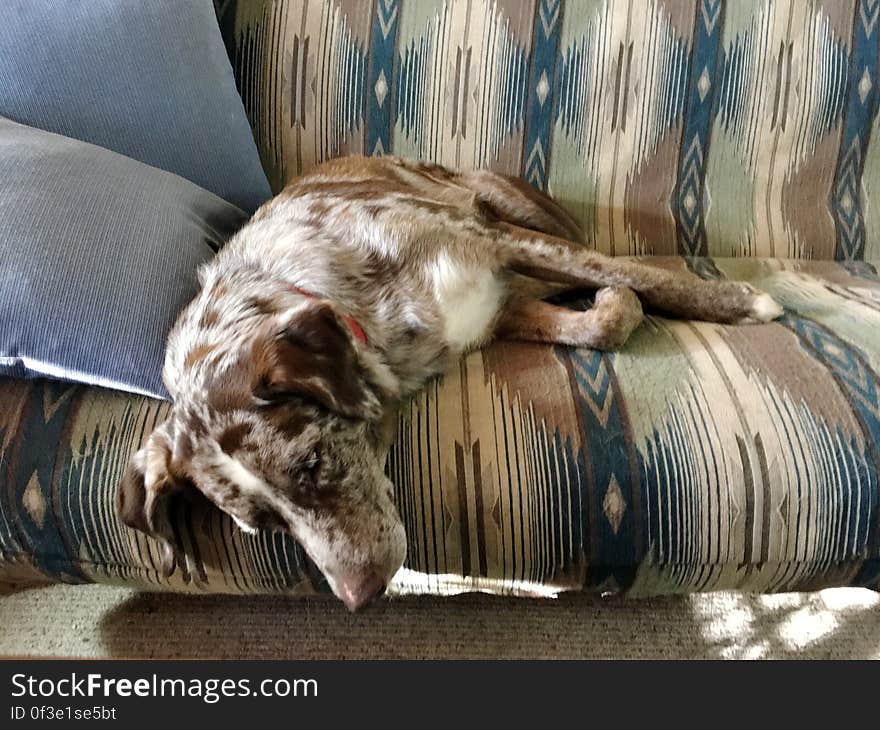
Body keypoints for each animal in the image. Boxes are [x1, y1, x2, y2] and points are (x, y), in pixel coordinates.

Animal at [113, 158, 780, 608]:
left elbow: (629, 274)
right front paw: (614, 304)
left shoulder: (501, 245)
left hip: (507, 201)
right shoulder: (498, 310)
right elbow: (606, 318)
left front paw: (734, 302)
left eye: (311, 465)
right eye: (267, 527)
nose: (359, 596)